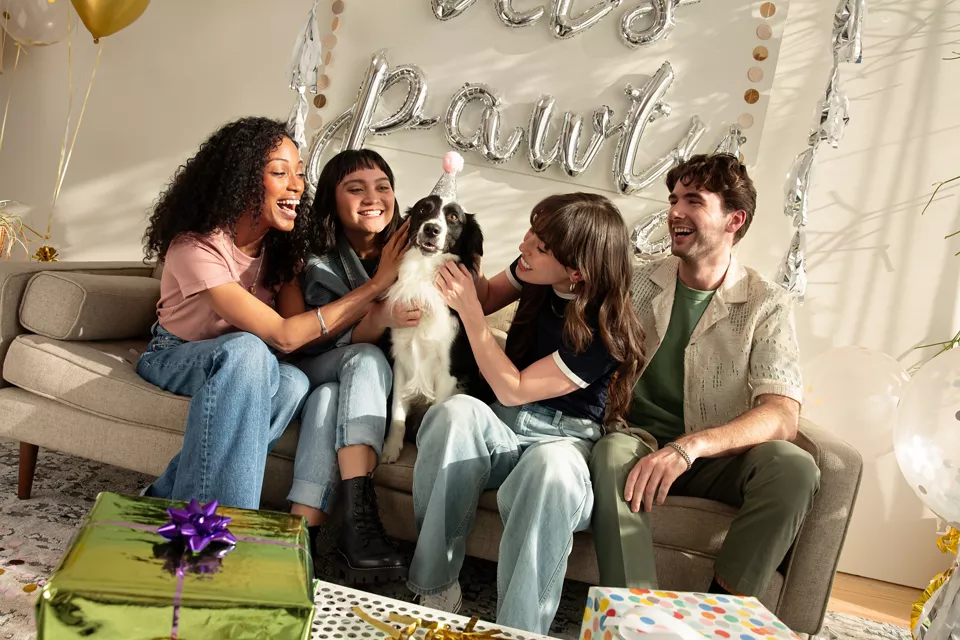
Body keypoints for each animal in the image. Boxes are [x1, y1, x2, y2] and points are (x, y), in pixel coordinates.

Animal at [378, 195, 488, 464]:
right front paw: (390, 449)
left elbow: (435, 411)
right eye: (423, 210)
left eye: (453, 217)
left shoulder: (448, 370)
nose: (431, 229)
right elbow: (397, 412)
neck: (424, 275)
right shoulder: (401, 361)